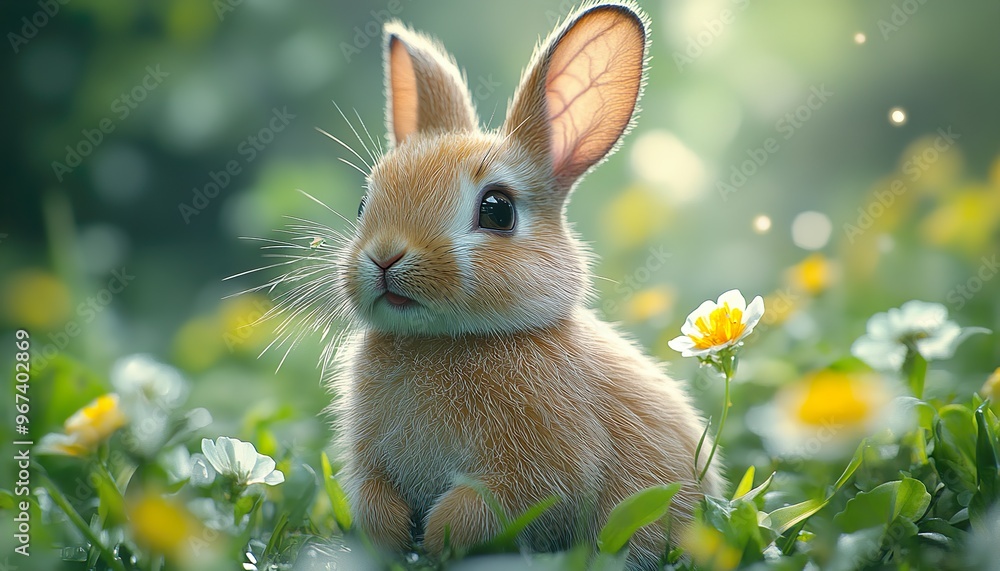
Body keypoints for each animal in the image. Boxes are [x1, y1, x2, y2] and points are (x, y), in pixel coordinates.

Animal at [320, 1, 724, 568]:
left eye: (497, 210)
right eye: (363, 204)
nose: (385, 257)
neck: (443, 341)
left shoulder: (539, 474)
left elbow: (485, 507)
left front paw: (437, 537)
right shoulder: (370, 464)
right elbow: (374, 498)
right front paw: (397, 537)